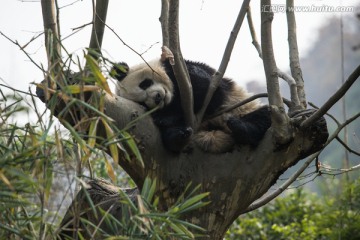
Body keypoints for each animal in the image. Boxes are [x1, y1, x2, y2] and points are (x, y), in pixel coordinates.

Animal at [111, 57, 272, 153]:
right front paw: (165, 119)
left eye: (145, 84)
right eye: (142, 103)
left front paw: (167, 116)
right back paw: (179, 136)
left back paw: (242, 127)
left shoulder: (180, 69)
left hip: (243, 107)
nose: (157, 98)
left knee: (264, 116)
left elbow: (209, 91)